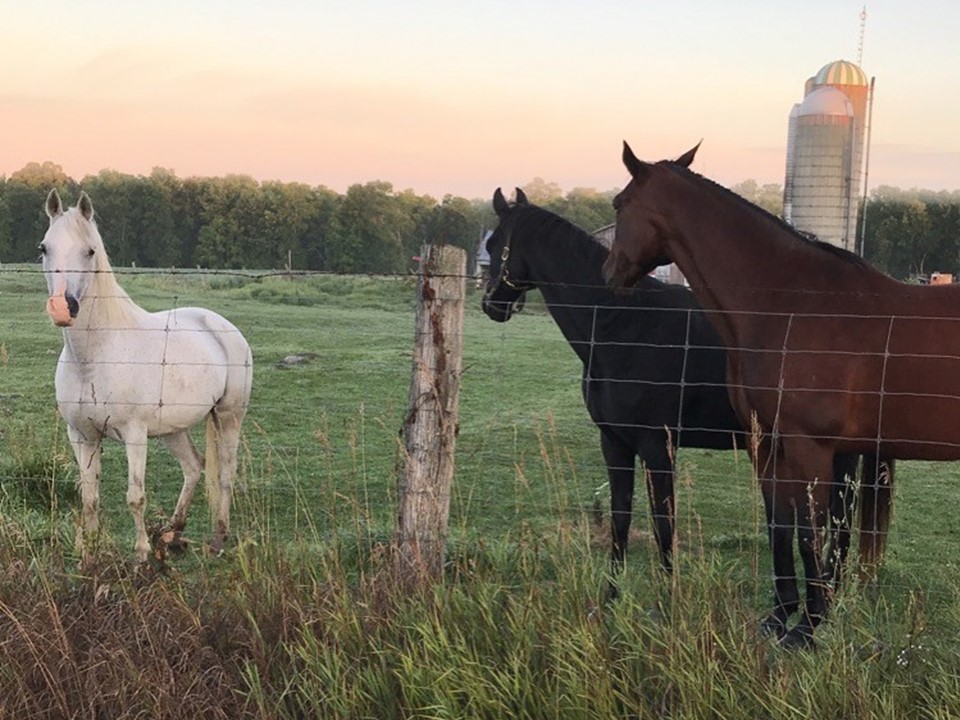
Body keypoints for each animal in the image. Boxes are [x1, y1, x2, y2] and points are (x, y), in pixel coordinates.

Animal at [40, 188, 253, 560]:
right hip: (174, 429)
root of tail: (221, 324)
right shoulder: (81, 435)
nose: (62, 308)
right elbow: (89, 497)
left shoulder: (134, 434)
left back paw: (217, 539)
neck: (95, 358)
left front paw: (141, 555)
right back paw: (173, 532)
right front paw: (90, 553)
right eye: (44, 248)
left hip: (228, 416)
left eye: (90, 250)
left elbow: (135, 497)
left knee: (225, 472)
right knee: (193, 466)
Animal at [480, 187, 892, 596]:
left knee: (840, 519)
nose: (491, 305)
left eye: (496, 242)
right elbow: (620, 518)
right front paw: (611, 598)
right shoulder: (614, 442)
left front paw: (666, 598)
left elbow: (664, 522)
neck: (624, 326)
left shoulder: (656, 446)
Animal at [600, 142, 916, 648]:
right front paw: (782, 614)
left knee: (840, 522)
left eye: (619, 203)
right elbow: (780, 524)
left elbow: (806, 529)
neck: (791, 302)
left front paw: (806, 625)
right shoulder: (768, 442)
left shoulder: (803, 445)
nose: (608, 274)